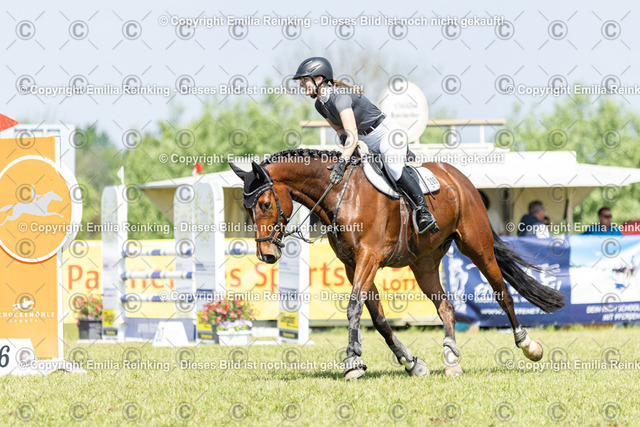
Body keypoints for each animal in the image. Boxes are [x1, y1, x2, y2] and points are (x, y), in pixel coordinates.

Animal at [229, 148, 565, 380]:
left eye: (265, 204)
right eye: (246, 210)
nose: (266, 254)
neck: (340, 194)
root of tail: (461, 180)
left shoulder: (369, 258)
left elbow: (353, 308)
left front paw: (352, 362)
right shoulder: (353, 265)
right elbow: (377, 318)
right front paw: (411, 363)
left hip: (477, 246)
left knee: (502, 293)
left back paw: (528, 345)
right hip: (424, 263)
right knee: (446, 307)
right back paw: (451, 360)